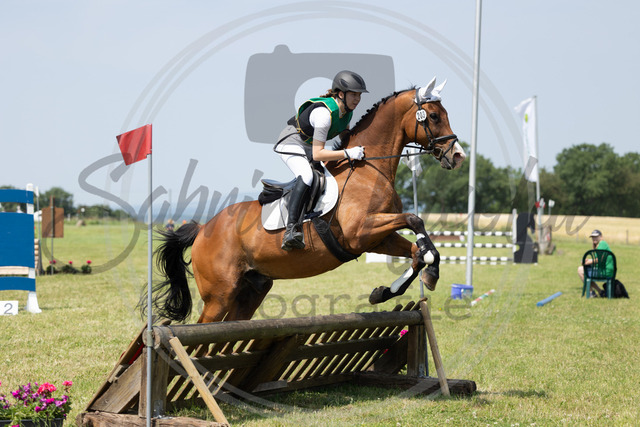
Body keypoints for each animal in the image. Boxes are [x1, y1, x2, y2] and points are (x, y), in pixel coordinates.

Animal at [152, 78, 466, 323]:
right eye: (434, 116)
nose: (458, 156)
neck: (369, 170)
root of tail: (203, 229)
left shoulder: (376, 238)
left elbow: (416, 251)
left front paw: (390, 289)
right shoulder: (360, 231)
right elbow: (415, 219)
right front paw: (430, 271)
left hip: (251, 289)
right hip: (220, 294)